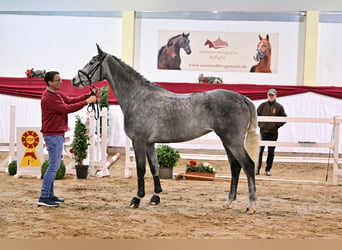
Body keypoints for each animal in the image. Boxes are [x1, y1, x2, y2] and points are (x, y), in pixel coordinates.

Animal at [72, 44, 260, 213]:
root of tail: (242, 97)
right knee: (235, 167)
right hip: (227, 142)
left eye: (92, 62)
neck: (137, 96)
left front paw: (137, 198)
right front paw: (156, 196)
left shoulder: (139, 141)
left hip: (233, 142)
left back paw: (250, 205)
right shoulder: (149, 143)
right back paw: (228, 202)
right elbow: (154, 167)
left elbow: (141, 169)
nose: (75, 80)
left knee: (248, 165)